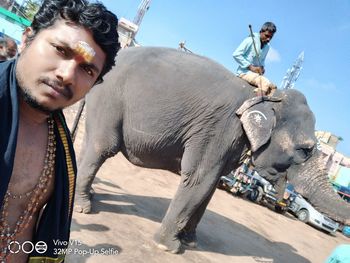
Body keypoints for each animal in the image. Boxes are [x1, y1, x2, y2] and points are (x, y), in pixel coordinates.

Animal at [74, 47, 318, 254]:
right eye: (305, 150)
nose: (286, 200)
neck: (265, 96)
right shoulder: (221, 129)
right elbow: (199, 180)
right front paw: (169, 247)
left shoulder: (230, 142)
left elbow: (210, 187)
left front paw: (190, 242)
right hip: (110, 98)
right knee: (103, 146)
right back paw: (83, 207)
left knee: (89, 142)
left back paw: (89, 194)